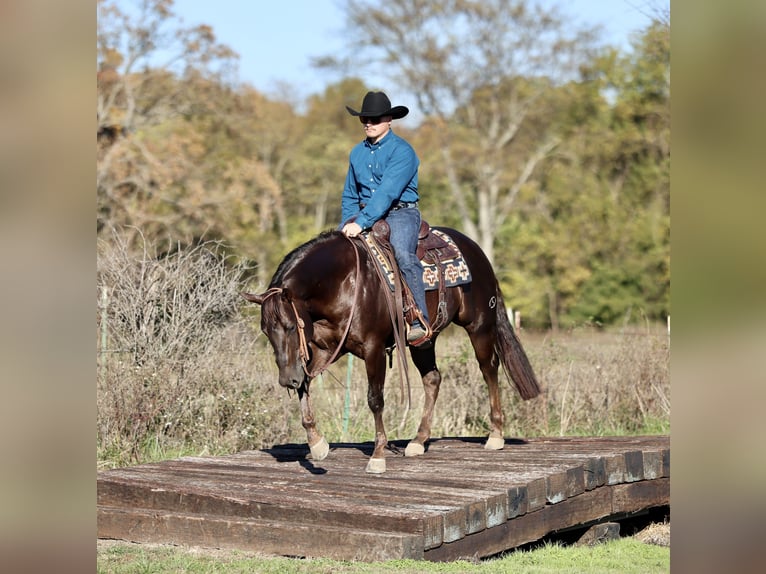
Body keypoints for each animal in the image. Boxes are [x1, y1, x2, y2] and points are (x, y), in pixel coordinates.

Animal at [242, 227, 541, 473]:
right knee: (432, 379)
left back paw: (495, 435)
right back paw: (418, 440)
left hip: (479, 326)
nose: (286, 380)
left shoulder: (372, 348)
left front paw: (377, 456)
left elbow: (375, 399)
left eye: (291, 326)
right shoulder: (322, 349)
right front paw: (317, 443)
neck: (343, 282)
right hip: (425, 341)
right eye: (265, 330)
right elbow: (305, 384)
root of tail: (477, 251)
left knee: (489, 369)